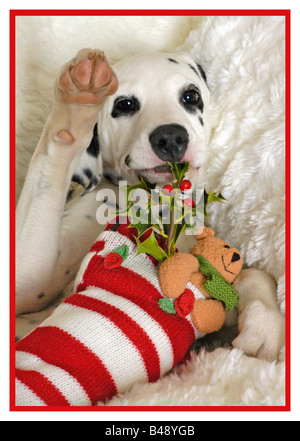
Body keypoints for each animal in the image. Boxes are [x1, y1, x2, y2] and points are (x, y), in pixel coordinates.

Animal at [15, 49, 284, 360]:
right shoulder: (29, 279)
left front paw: (264, 321)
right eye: (125, 104)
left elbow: (251, 273)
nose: (170, 137)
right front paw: (77, 102)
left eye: (190, 96)